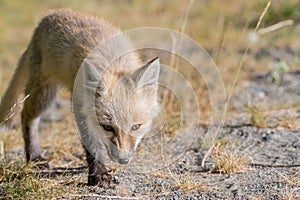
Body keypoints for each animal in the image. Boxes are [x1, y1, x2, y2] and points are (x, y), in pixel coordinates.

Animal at [0, 9, 161, 187]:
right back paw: (35, 157)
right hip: (44, 95)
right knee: (26, 117)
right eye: (107, 127)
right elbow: (92, 144)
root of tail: (48, 16)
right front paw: (99, 174)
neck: (114, 63)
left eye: (136, 127)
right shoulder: (81, 108)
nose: (123, 160)